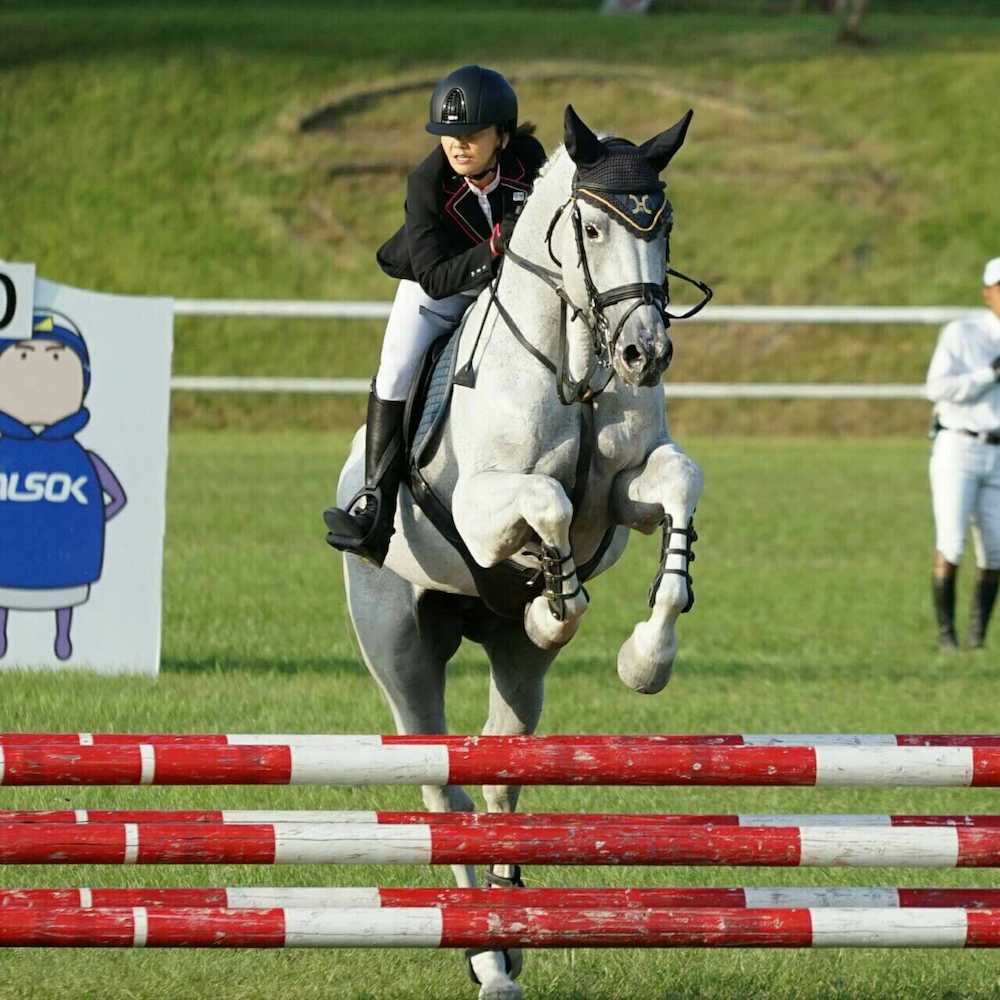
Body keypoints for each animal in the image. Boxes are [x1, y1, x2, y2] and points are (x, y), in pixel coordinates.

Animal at [332, 105, 708, 999]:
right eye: (593, 227)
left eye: (664, 222)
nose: (645, 355)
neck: (574, 361)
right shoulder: (481, 506)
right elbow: (547, 501)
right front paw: (555, 604)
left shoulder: (628, 491)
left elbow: (677, 483)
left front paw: (646, 655)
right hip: (400, 647)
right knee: (443, 791)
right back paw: (483, 955)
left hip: (513, 672)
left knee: (502, 776)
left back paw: (507, 937)